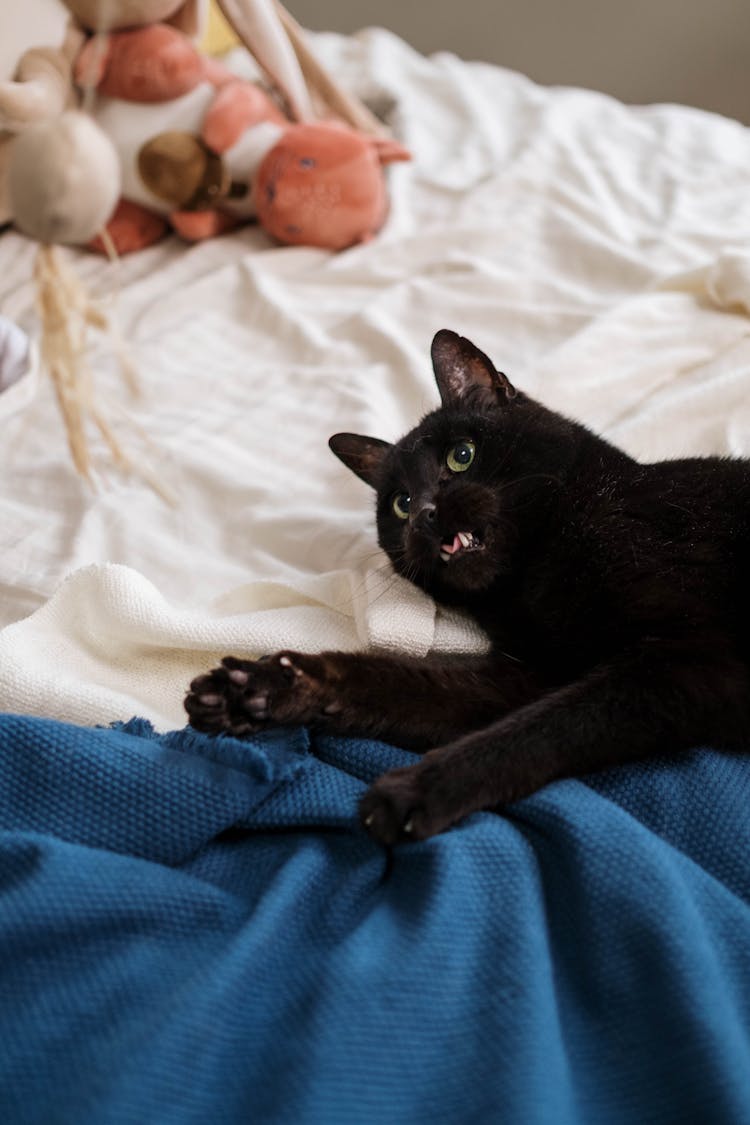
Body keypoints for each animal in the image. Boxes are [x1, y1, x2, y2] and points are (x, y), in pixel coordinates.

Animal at [184, 328, 750, 841]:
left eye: (462, 456)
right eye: (401, 504)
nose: (425, 515)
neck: (532, 581)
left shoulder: (688, 658)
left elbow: (546, 727)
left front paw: (415, 790)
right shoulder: (524, 676)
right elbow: (395, 678)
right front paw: (261, 687)